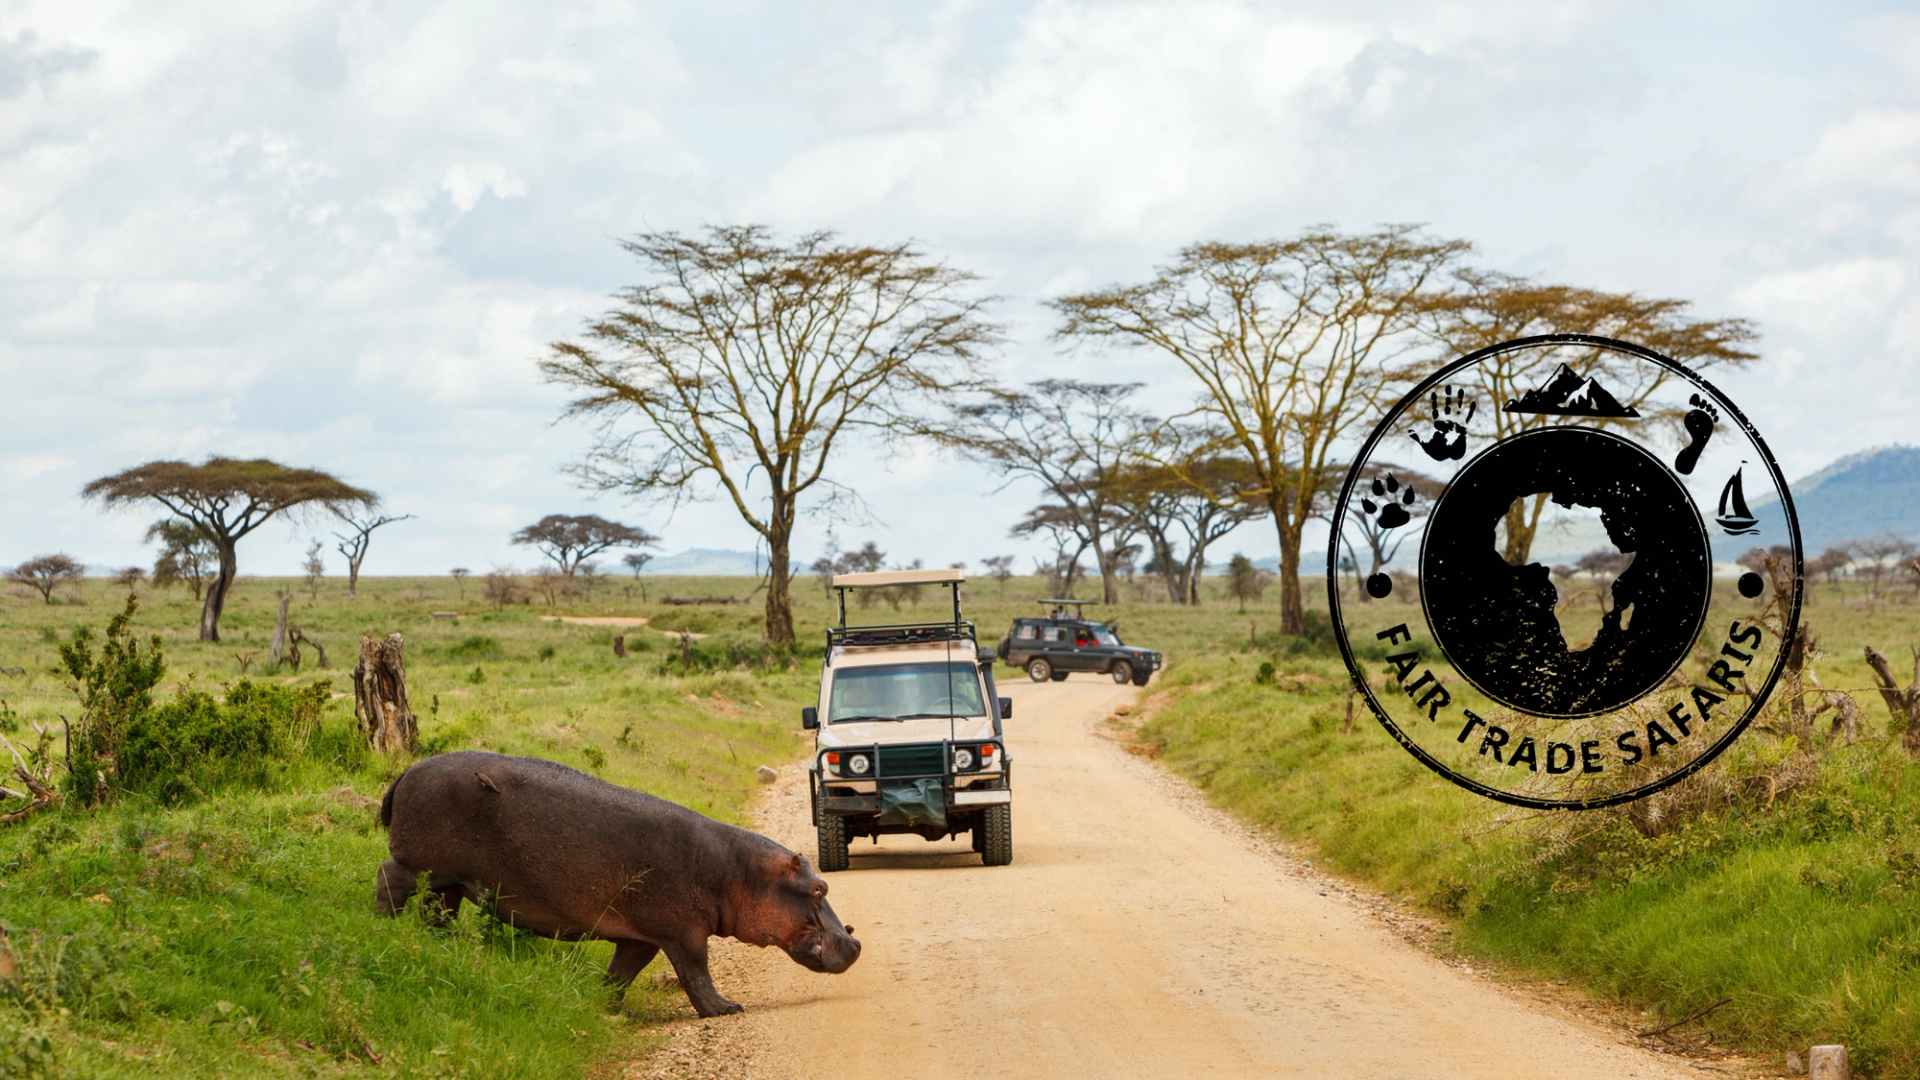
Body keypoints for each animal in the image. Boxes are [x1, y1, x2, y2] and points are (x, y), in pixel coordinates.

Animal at [375, 750, 860, 1017]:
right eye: (819, 889)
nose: (855, 943)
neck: (739, 871)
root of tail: (404, 773)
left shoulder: (641, 937)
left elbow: (621, 974)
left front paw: (611, 1010)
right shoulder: (683, 934)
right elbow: (697, 973)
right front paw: (726, 1008)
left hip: (449, 883)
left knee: (436, 910)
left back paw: (437, 943)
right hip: (421, 866)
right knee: (388, 878)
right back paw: (383, 926)